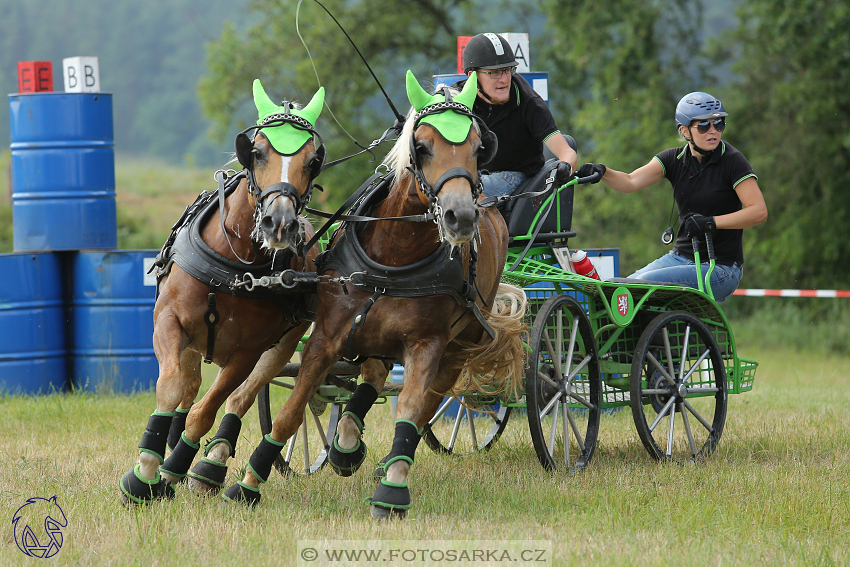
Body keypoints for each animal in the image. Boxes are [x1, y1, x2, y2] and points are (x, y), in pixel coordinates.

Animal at [118, 80, 332, 506]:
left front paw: (174, 468)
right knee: (188, 387)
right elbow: (170, 389)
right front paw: (146, 471)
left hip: (283, 344)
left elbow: (209, 409)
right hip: (192, 345)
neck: (235, 266)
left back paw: (207, 464)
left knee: (241, 397)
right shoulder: (169, 322)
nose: (279, 223)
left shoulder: (249, 350)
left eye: (311, 161)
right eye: (258, 150)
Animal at [220, 69, 524, 516]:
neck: (394, 255)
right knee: (373, 376)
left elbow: (412, 408)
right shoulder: (327, 337)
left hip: (461, 340)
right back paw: (347, 444)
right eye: (421, 146)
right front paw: (249, 483)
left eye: (477, 147)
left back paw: (384, 456)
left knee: (431, 399)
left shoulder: (427, 342)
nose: (461, 217)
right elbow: (292, 411)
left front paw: (393, 489)